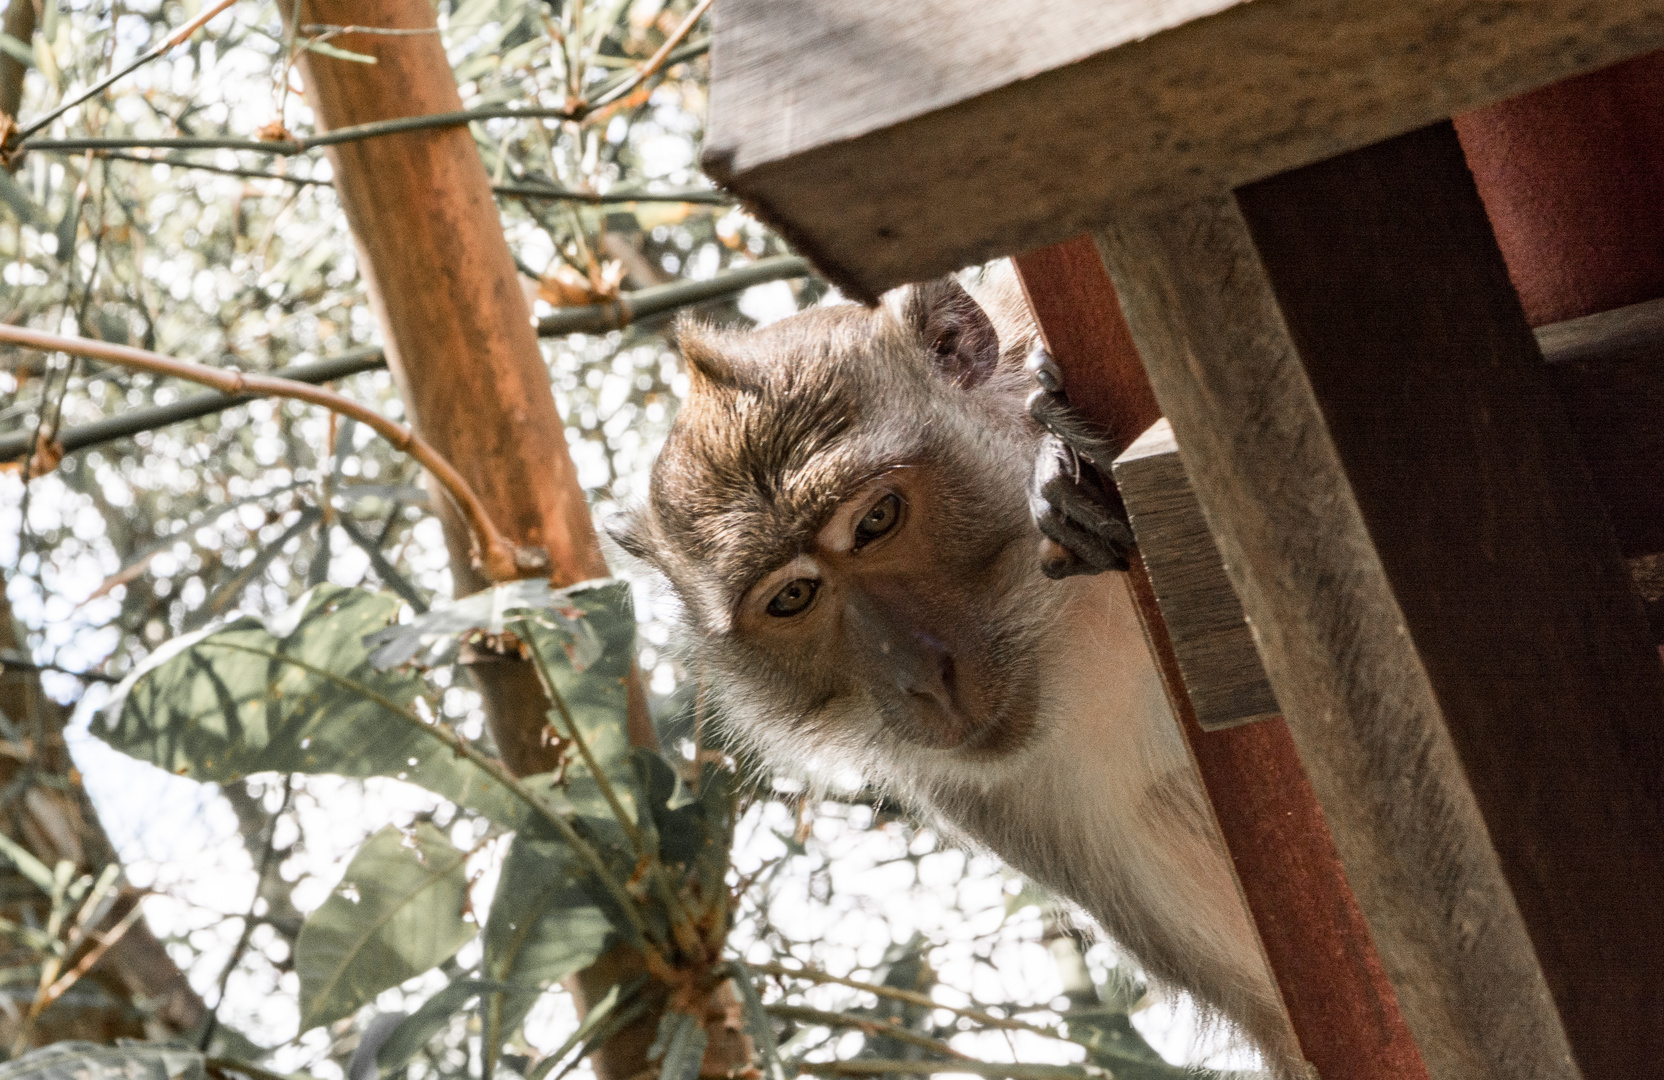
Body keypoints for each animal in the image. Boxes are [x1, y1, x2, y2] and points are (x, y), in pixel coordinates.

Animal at [609, 267, 1297, 1071]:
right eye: (793, 597)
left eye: (876, 520)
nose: (920, 676)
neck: (1065, 617)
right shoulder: (998, 796)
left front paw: (1068, 484)